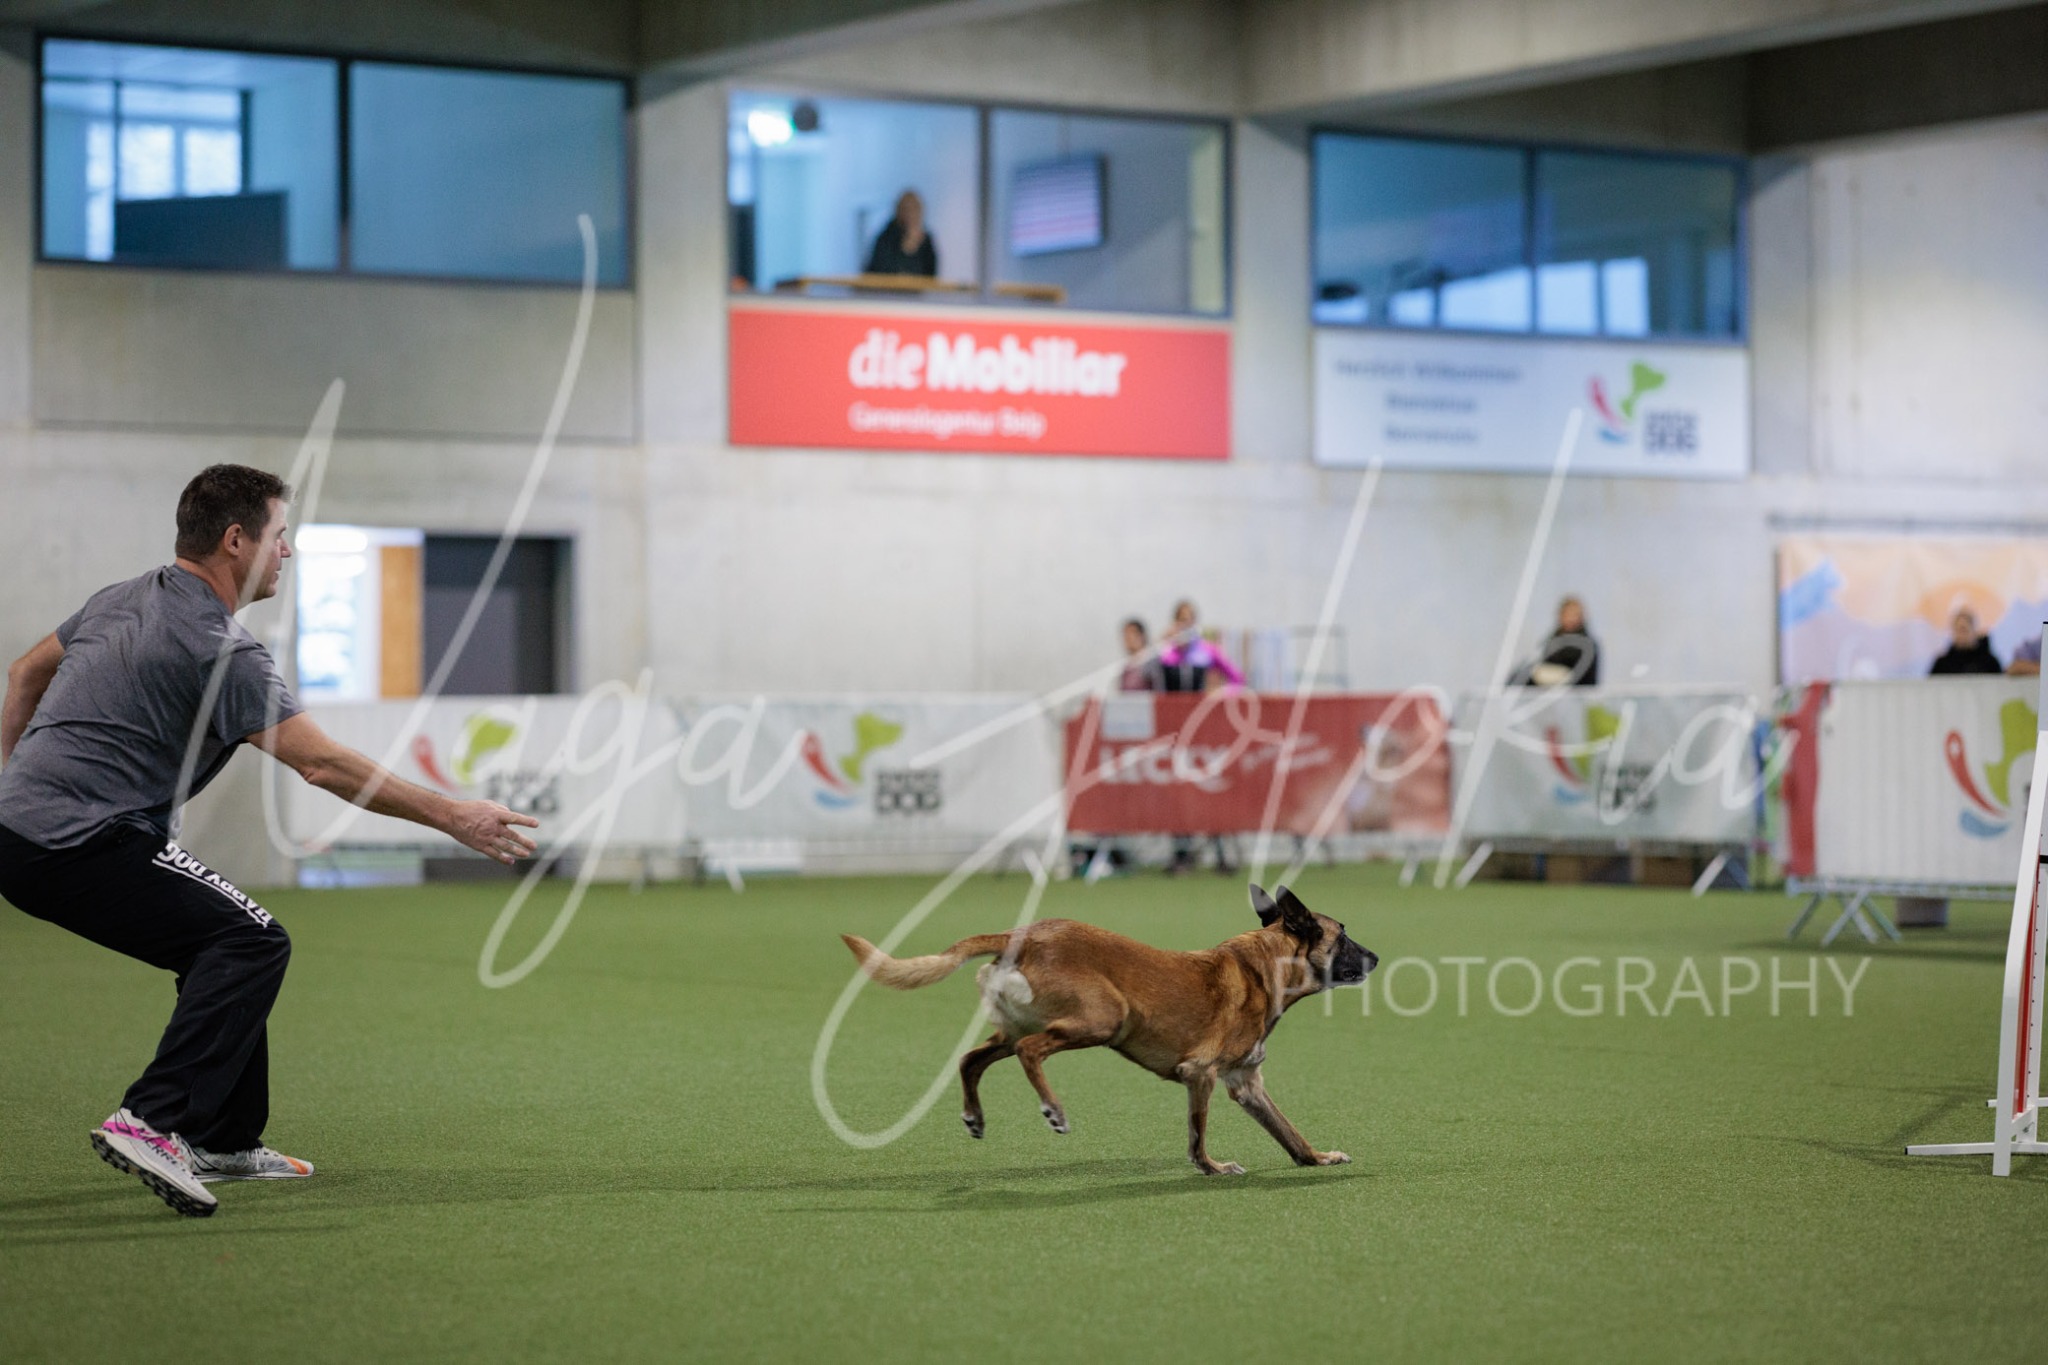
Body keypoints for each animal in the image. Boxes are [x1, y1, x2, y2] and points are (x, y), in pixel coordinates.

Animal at [840, 883, 1377, 1175]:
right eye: (1344, 935)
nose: (1375, 957)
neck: (1264, 965)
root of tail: (1023, 936)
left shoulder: (1246, 1084)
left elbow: (1290, 1134)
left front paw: (1318, 1158)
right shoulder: (1200, 1074)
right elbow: (1197, 1135)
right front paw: (1212, 1168)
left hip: (1014, 1030)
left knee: (972, 1059)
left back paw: (975, 1115)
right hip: (1102, 1018)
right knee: (1032, 1051)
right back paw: (1053, 1110)